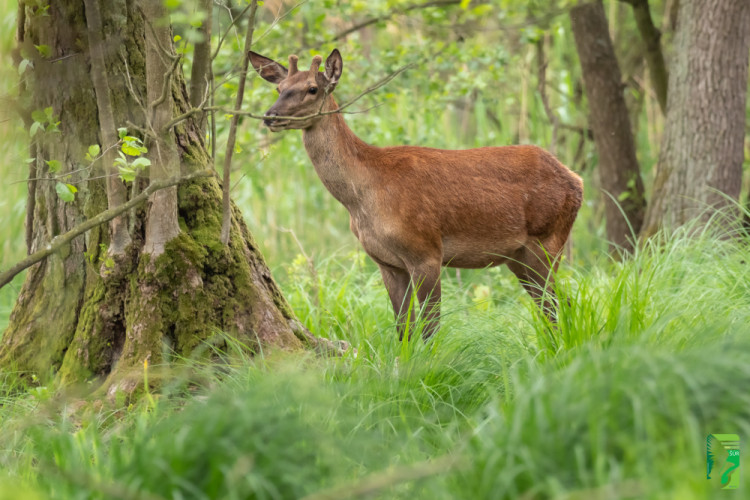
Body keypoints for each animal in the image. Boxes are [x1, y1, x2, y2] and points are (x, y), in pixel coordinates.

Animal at [250, 48, 584, 340]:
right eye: (279, 87)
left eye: (311, 89)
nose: (270, 115)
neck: (363, 198)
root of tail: (576, 180)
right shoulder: (387, 263)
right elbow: (403, 329)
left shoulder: (426, 250)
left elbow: (429, 326)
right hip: (518, 255)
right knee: (553, 304)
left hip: (546, 239)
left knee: (557, 304)